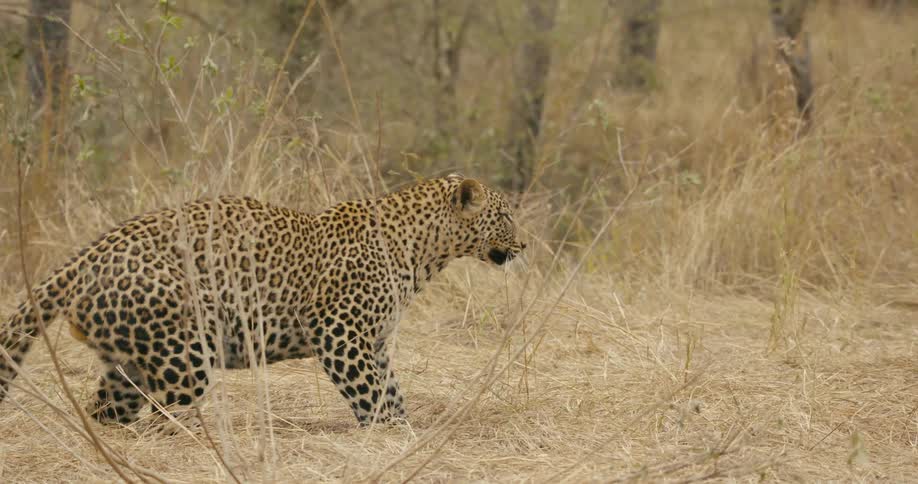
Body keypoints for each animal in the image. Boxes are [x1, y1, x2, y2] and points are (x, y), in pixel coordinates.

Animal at [0, 175, 525, 429]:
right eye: (504, 217)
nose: (523, 246)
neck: (425, 250)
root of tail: (83, 257)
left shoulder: (373, 342)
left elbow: (391, 391)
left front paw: (402, 432)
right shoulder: (340, 334)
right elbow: (372, 395)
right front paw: (391, 436)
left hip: (128, 360)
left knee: (109, 411)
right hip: (186, 355)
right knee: (167, 415)